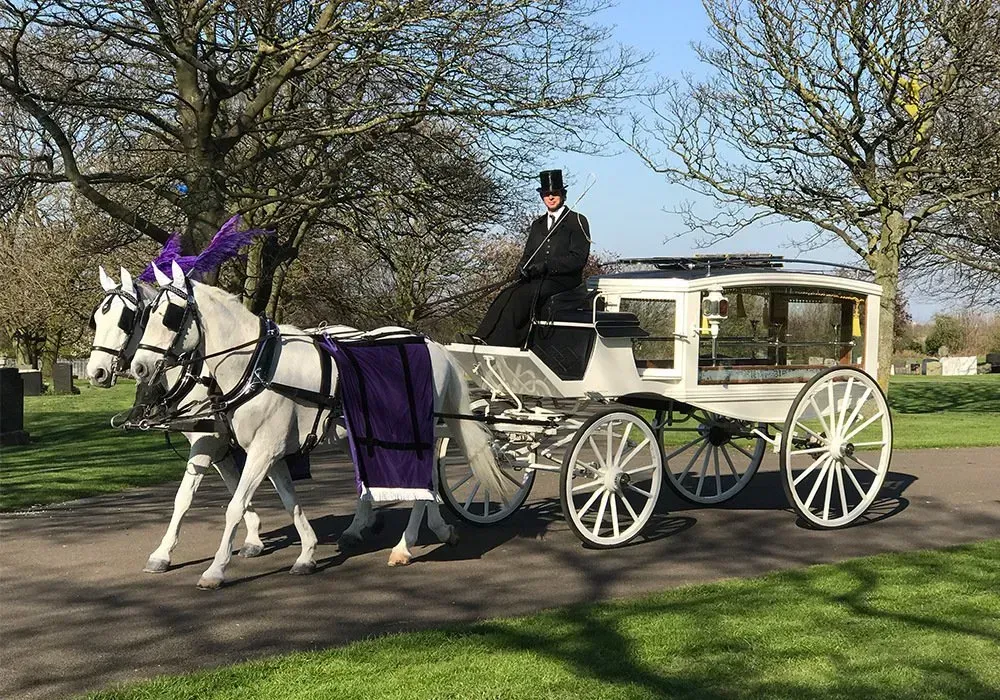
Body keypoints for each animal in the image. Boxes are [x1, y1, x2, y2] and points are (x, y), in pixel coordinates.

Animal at [87, 266, 270, 572]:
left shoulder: (209, 439)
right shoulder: (218, 443)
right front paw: (254, 537)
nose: (95, 373)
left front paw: (163, 552)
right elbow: (235, 485)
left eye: (125, 319)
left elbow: (184, 496)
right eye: (97, 319)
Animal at [131, 262, 508, 592]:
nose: (139, 367)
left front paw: (215, 570)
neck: (258, 366)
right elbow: (288, 499)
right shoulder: (268, 451)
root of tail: (433, 345)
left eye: (171, 314)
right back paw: (431, 530)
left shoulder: (261, 450)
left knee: (422, 483)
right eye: (145, 315)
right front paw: (307, 554)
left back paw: (404, 546)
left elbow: (235, 506)